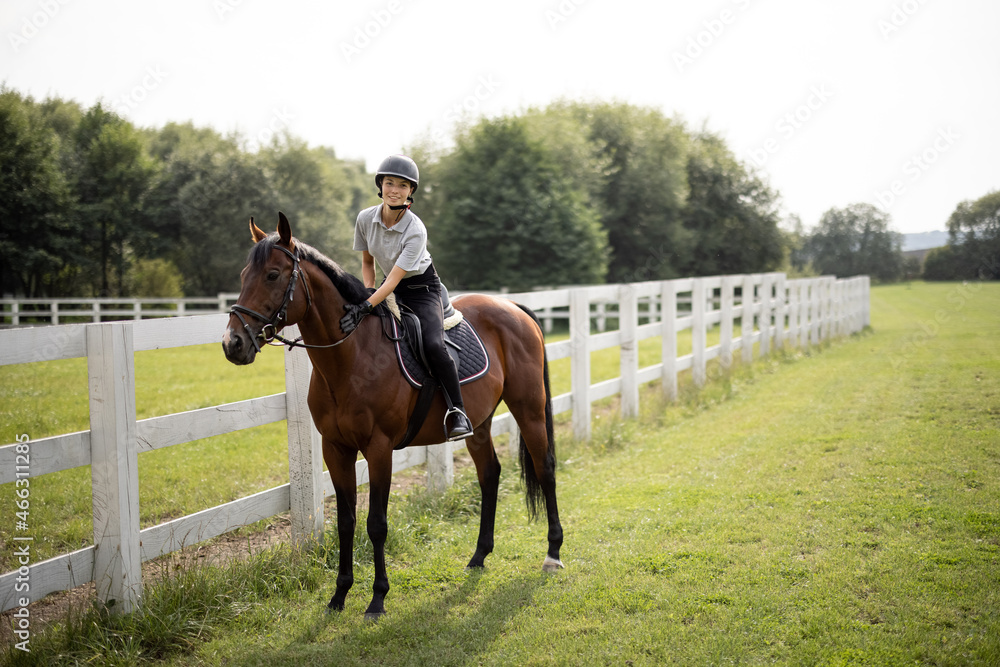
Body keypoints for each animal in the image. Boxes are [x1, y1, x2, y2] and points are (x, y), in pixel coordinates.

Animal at [223, 214, 564, 620]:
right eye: (243, 275)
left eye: (273, 275)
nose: (233, 344)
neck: (351, 356)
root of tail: (512, 306)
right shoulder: (335, 449)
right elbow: (346, 522)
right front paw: (339, 595)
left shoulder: (379, 448)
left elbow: (376, 524)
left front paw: (377, 598)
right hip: (479, 423)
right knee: (489, 474)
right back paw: (479, 555)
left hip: (529, 408)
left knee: (544, 468)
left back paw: (553, 553)